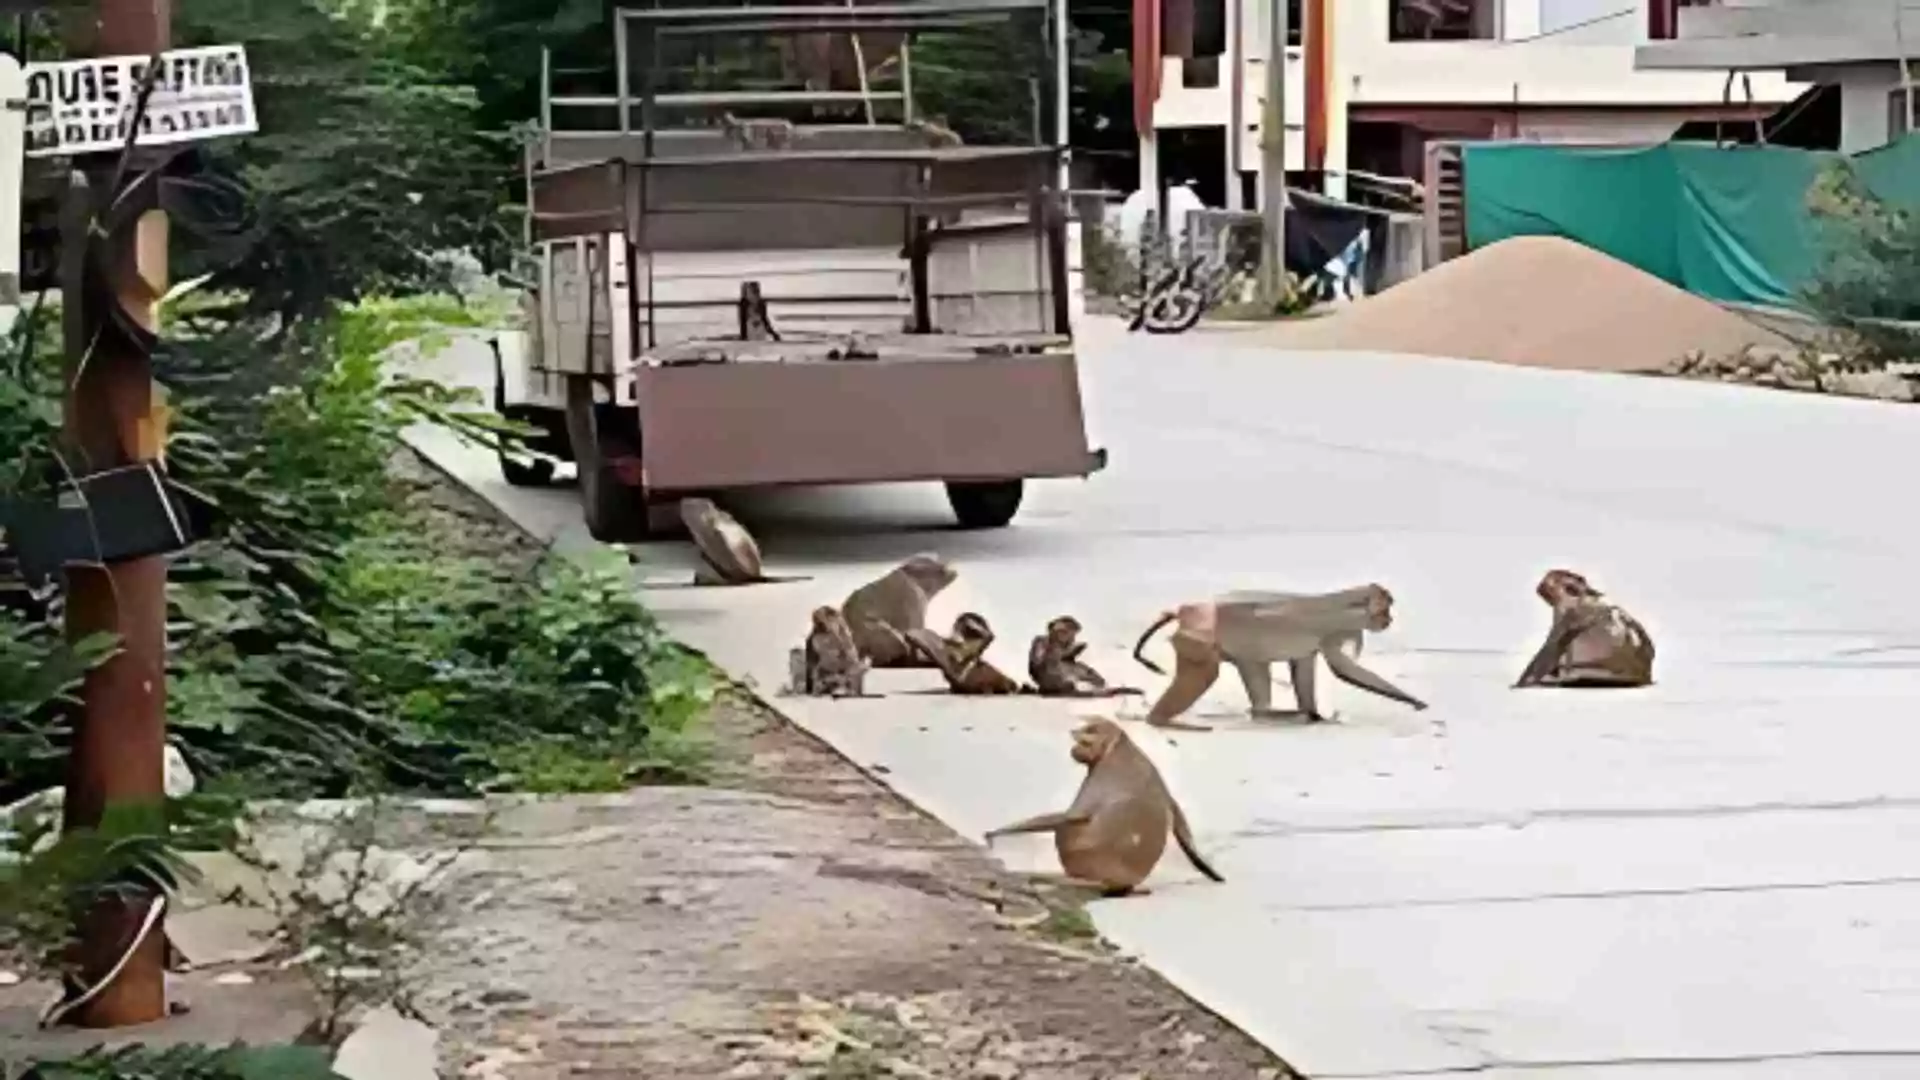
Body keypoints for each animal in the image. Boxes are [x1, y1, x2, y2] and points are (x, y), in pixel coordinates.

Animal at [983, 714, 1221, 891]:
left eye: (1091, 730)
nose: (1074, 732)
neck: (1118, 749)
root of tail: (1115, 881)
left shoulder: (1098, 784)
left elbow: (1071, 814)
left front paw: (994, 833)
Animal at [1121, 580, 1428, 730]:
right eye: (1386, 609)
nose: (1388, 620)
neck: (1345, 604)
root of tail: (1186, 611)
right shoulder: (1335, 630)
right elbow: (1343, 669)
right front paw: (1414, 701)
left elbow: (1303, 665)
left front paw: (1315, 712)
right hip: (1200, 640)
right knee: (1219, 670)